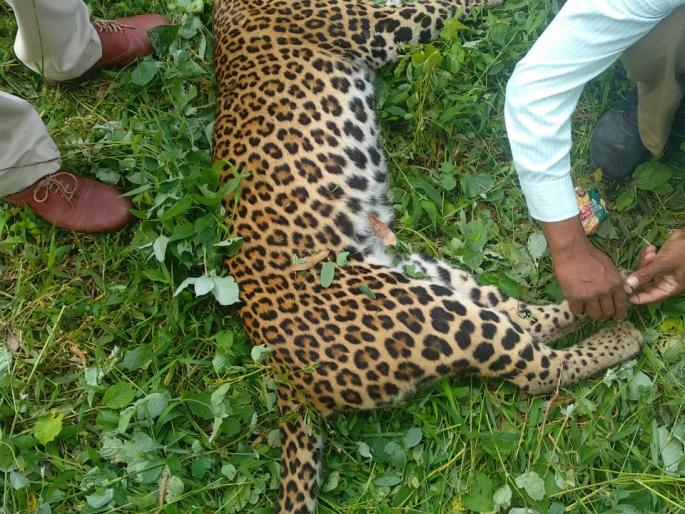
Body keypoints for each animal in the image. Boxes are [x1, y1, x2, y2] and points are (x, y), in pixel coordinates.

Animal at [211, 0, 644, 512]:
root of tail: (280, 371)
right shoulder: (376, 26)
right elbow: (444, 5)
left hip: (423, 274)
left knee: (523, 318)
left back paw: (621, 289)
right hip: (422, 315)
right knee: (538, 370)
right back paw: (622, 331)